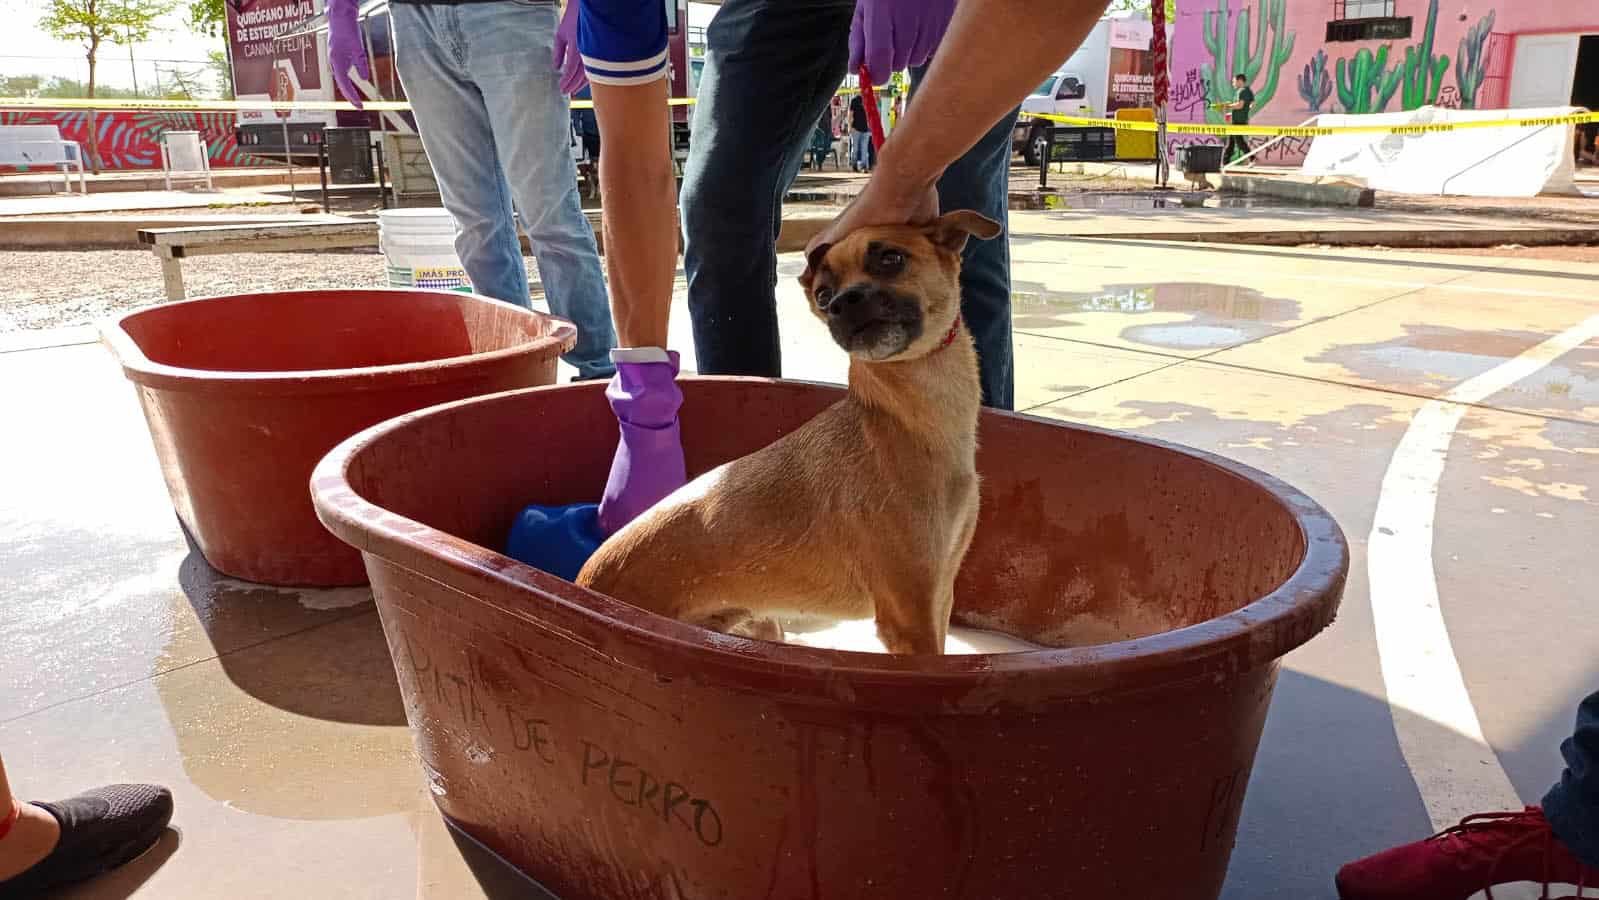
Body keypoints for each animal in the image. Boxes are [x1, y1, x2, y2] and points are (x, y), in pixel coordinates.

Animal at [575, 209, 997, 655]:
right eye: (824, 296)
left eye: (891, 259)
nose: (842, 303)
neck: (903, 419)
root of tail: (585, 583)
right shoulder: (909, 615)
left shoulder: (940, 593)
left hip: (759, 625)